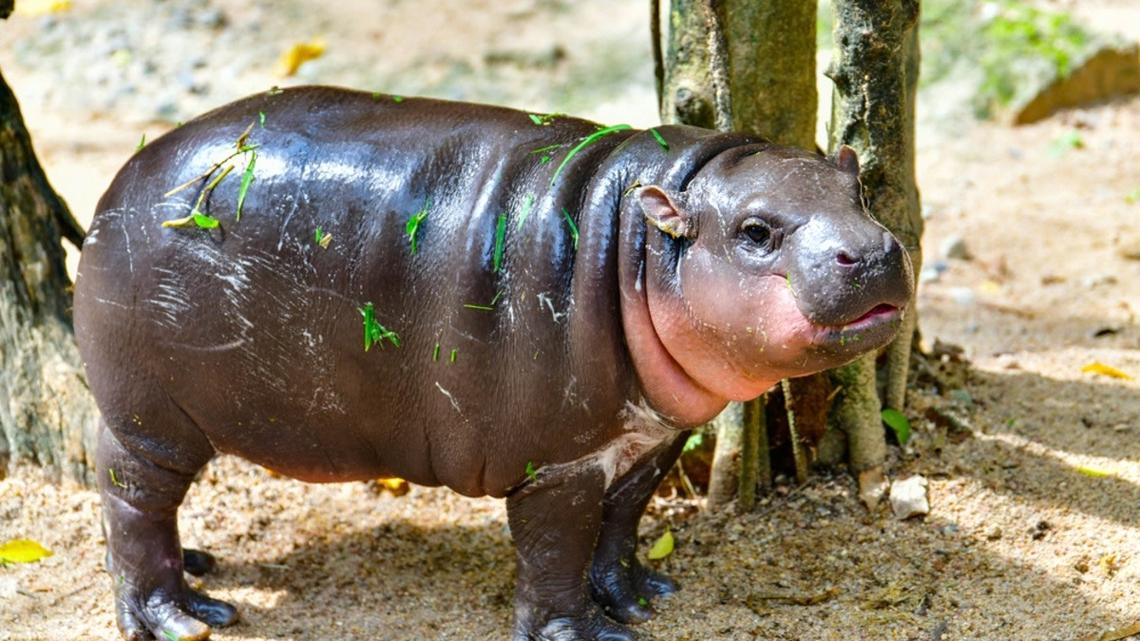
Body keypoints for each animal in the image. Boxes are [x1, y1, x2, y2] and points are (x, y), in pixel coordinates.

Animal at [73, 86, 913, 641]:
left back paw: (201, 567)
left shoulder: (649, 440)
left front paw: (642, 596)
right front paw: (587, 632)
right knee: (131, 499)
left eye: (860, 186)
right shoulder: (556, 462)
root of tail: (124, 176)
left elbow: (620, 526)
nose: (875, 251)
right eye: (756, 231)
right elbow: (554, 550)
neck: (639, 239)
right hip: (150, 414)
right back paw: (181, 616)